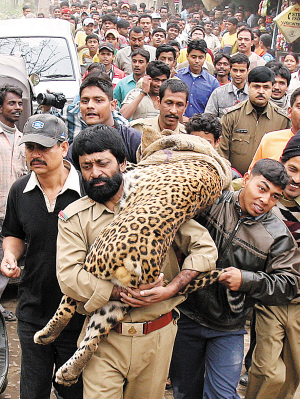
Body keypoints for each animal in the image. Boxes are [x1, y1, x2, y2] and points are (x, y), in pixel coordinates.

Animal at [34, 128, 232, 388]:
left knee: (69, 302)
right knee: (93, 339)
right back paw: (69, 371)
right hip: (118, 302)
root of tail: (137, 260)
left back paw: (46, 335)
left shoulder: (133, 169)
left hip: (92, 260)